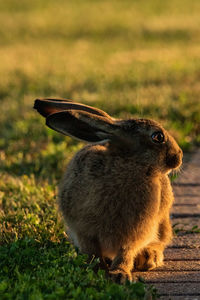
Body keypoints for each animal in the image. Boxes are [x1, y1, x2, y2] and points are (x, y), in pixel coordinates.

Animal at [33, 98, 182, 284]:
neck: (130, 162)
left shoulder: (135, 232)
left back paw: (149, 258)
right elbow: (92, 252)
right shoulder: (83, 230)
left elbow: (126, 252)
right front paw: (96, 270)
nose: (179, 157)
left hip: (162, 223)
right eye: (158, 137)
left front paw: (119, 274)